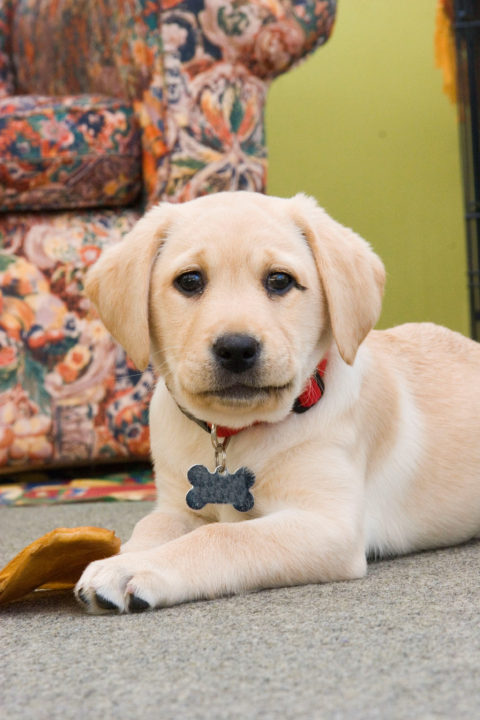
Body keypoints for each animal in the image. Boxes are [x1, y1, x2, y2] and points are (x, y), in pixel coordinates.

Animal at [74, 191, 480, 612]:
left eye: (280, 280)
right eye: (189, 280)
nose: (236, 348)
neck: (232, 433)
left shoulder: (328, 523)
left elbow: (223, 536)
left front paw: (130, 568)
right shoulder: (177, 504)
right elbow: (152, 523)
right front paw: (124, 556)